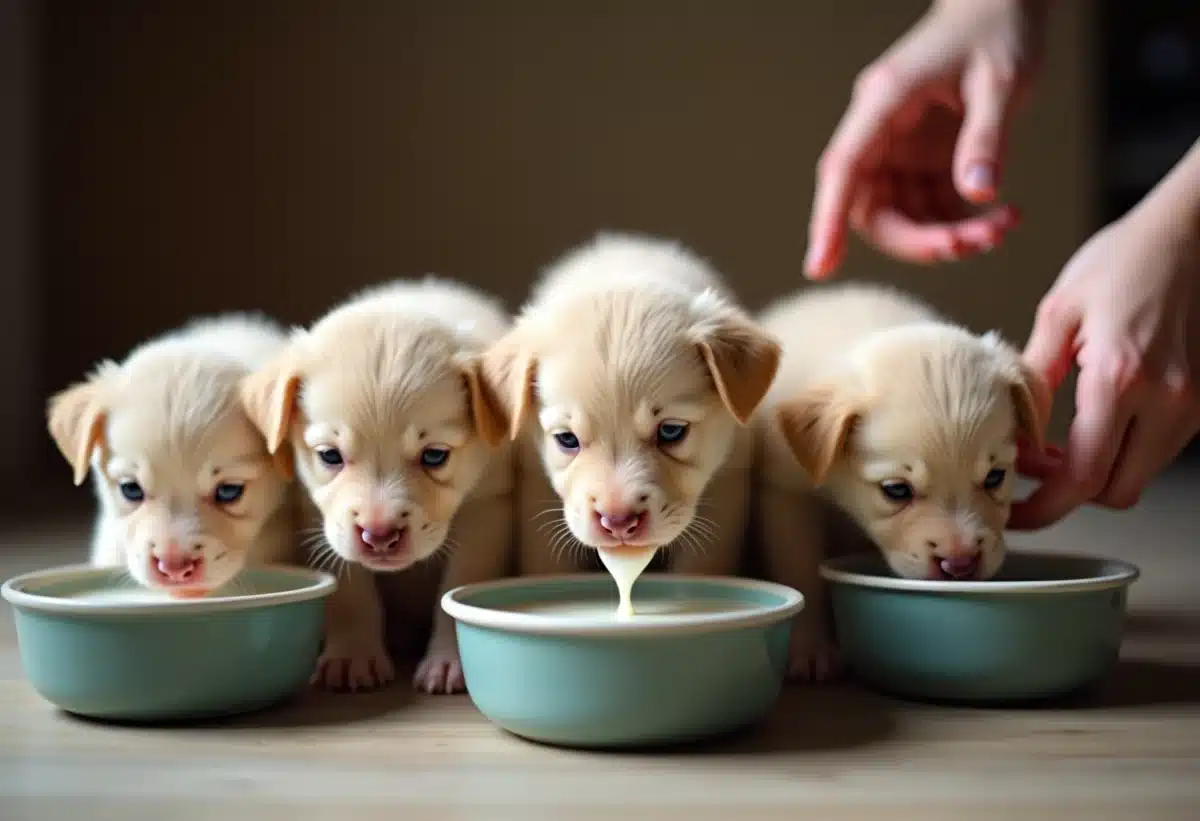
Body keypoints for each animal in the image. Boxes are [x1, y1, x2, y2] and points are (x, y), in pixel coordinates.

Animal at [238, 278, 511, 696]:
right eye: (330, 456)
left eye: (435, 455)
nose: (380, 535)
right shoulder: (319, 516)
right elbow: (350, 591)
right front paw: (352, 654)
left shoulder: (486, 509)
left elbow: (458, 584)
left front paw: (450, 659)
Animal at [758, 282, 1051, 681]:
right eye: (896, 490)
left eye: (995, 477)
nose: (961, 565)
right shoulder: (788, 492)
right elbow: (800, 570)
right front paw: (810, 647)